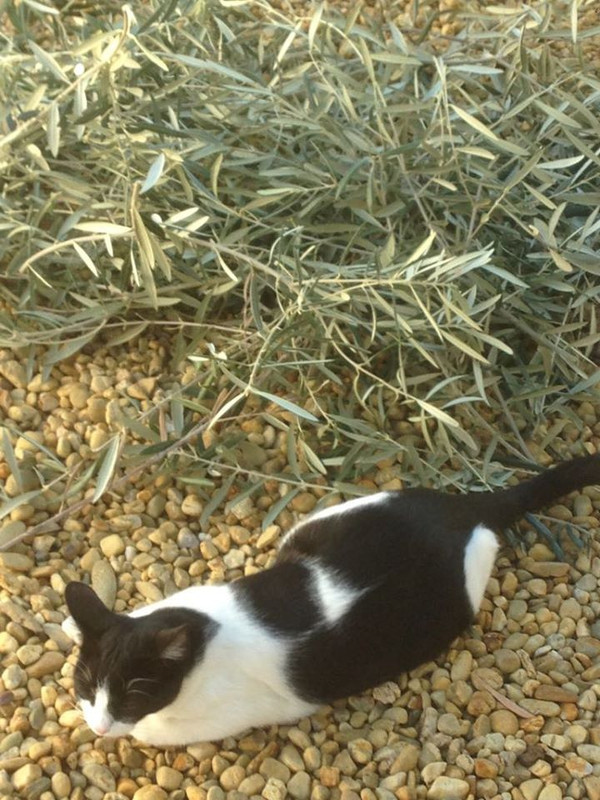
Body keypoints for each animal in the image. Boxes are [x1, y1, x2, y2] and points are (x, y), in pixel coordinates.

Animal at [63, 454, 600, 746]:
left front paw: (131, 729)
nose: (99, 728)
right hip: (330, 518)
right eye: (85, 685)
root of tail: (468, 508)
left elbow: (153, 730)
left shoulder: (230, 712)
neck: (197, 631)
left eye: (134, 695)